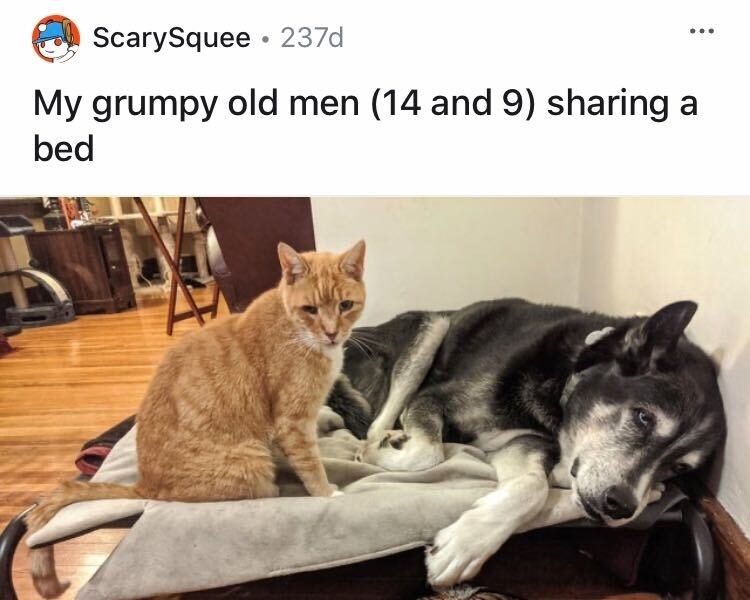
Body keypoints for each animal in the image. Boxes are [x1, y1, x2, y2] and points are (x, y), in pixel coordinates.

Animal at [27, 241, 368, 596]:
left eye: (345, 305)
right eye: (310, 309)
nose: (332, 333)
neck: (295, 330)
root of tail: (145, 487)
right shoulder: (293, 422)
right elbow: (311, 465)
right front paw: (327, 493)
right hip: (252, 463)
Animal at [328, 298, 728, 588]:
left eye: (679, 466)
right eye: (644, 418)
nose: (622, 507)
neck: (564, 379)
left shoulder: (522, 443)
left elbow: (532, 488)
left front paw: (467, 543)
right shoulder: (433, 398)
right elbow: (428, 453)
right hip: (432, 328)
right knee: (377, 422)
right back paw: (381, 441)